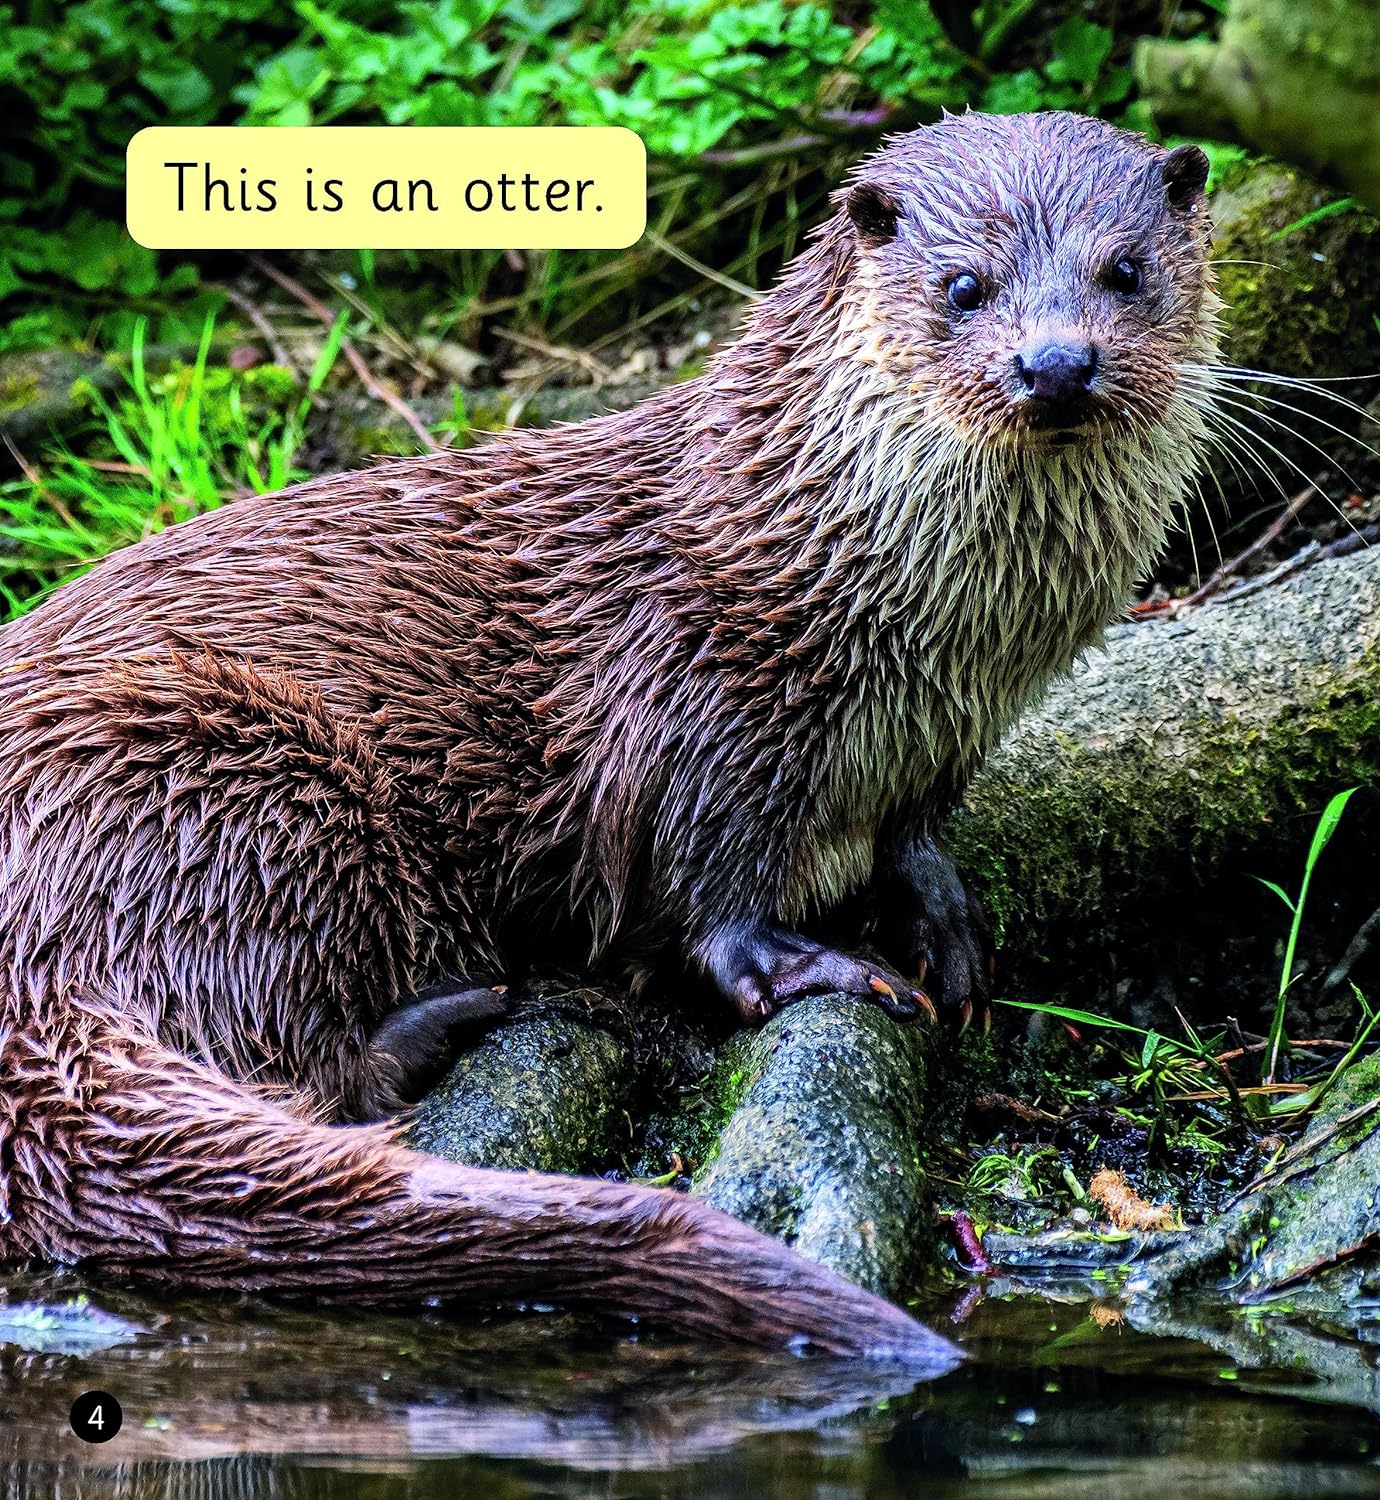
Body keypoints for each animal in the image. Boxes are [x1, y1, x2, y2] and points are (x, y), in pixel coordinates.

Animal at [0, 111, 1216, 1362]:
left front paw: (940, 919)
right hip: (233, 777)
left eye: (1127, 272)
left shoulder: (943, 736)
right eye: (964, 286)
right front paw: (808, 963)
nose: (1057, 363)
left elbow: (916, 835)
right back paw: (452, 1014)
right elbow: (702, 889)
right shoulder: (699, 693)